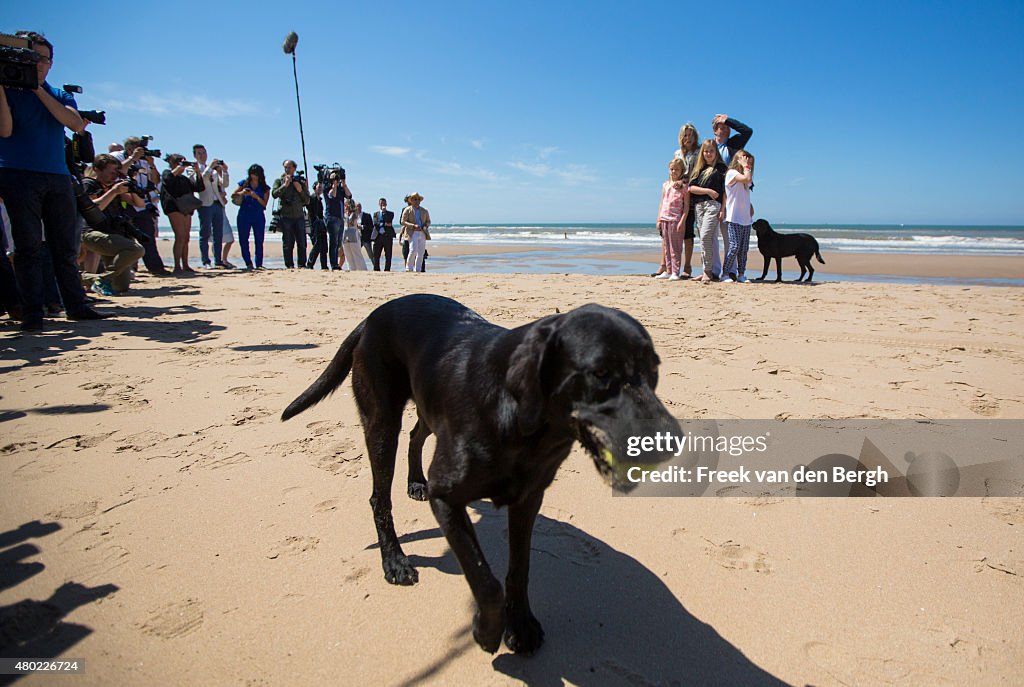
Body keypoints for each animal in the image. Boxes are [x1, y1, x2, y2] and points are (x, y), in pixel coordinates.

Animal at [282, 294, 679, 655]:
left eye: (654, 369)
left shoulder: (528, 499)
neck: (524, 425)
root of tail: (373, 316)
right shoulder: (446, 499)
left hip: (425, 409)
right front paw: (487, 632)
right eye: (600, 373)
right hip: (381, 421)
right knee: (380, 496)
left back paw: (415, 482)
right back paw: (394, 560)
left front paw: (521, 625)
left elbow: (518, 570)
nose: (671, 439)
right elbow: (485, 581)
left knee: (415, 435)